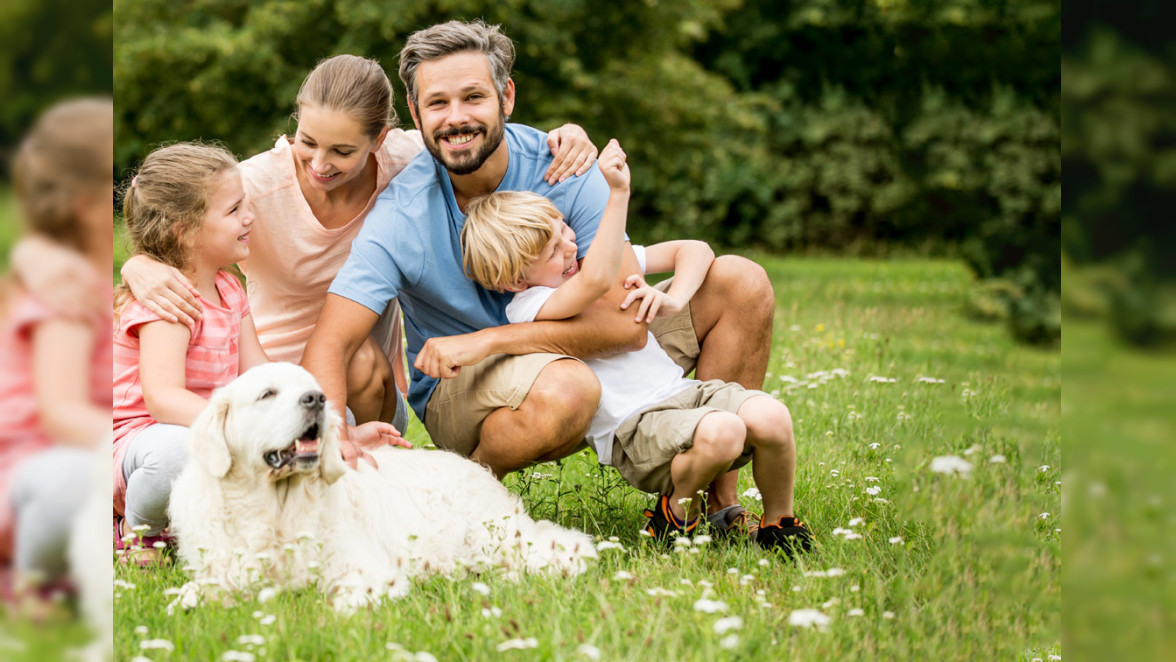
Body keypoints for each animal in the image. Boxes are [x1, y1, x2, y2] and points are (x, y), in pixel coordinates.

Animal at [165, 362, 597, 611]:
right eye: (266, 394)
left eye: (312, 388)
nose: (317, 399)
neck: (275, 509)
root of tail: (477, 469)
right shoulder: (220, 573)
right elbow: (188, 598)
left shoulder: (365, 572)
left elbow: (338, 604)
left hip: (494, 538)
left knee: (561, 548)